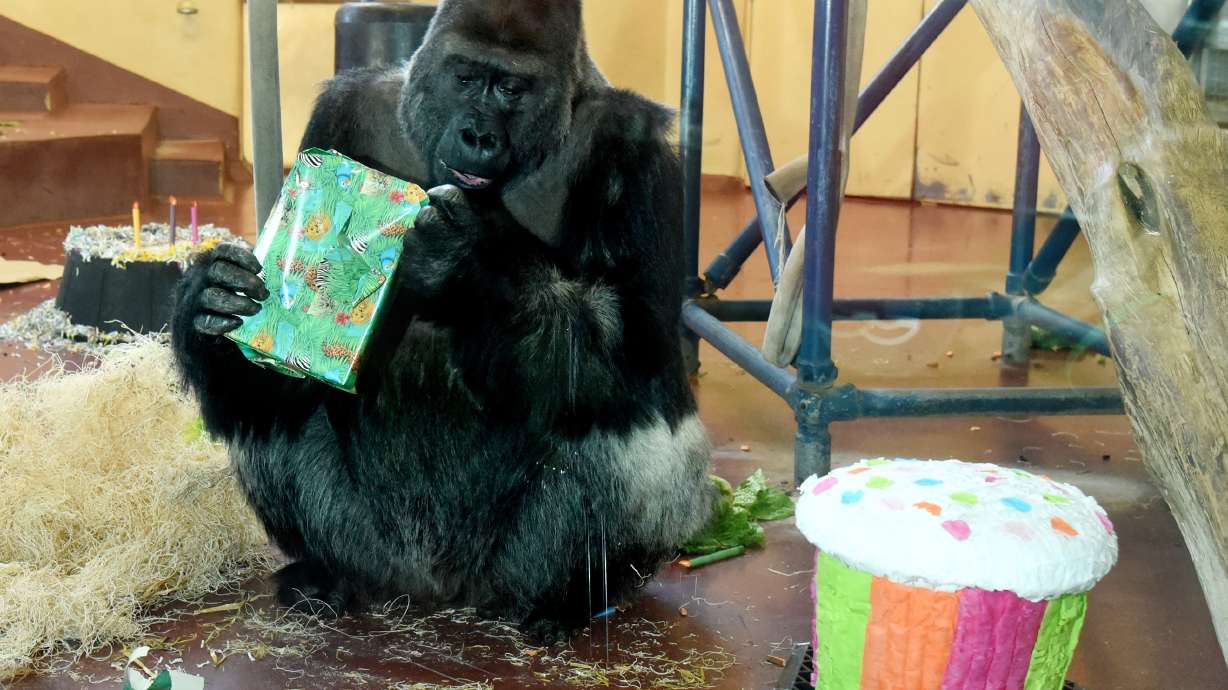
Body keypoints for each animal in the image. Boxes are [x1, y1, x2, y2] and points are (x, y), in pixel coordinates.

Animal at [171, 0, 713, 641]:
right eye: (465, 78)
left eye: (510, 88)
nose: (478, 134)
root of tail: (438, 589)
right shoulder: (340, 114)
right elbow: (269, 383)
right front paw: (209, 302)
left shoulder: (634, 147)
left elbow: (641, 349)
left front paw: (466, 269)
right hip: (372, 547)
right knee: (266, 417)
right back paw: (328, 574)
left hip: (507, 570)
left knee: (630, 431)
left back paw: (567, 599)